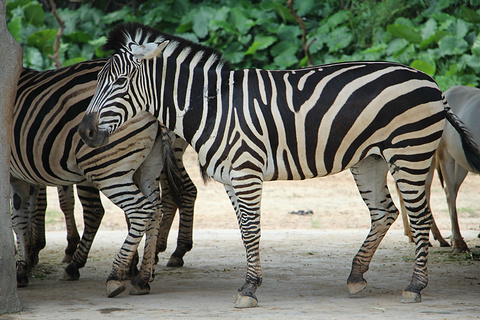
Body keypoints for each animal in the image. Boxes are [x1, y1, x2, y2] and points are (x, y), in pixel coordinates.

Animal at [12, 61, 198, 296]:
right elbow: (28, 210)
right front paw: (28, 257)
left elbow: (23, 215)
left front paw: (24, 265)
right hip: (149, 166)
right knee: (160, 206)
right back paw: (145, 272)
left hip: (103, 167)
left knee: (123, 209)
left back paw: (108, 273)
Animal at [76, 22, 480, 308]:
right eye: (99, 80)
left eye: (121, 81)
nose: (85, 132)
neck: (213, 107)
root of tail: (429, 80)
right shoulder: (230, 178)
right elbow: (244, 230)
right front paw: (251, 281)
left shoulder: (246, 172)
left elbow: (252, 229)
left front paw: (249, 288)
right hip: (370, 159)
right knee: (385, 213)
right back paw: (356, 275)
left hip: (410, 153)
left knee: (420, 216)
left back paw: (415, 286)